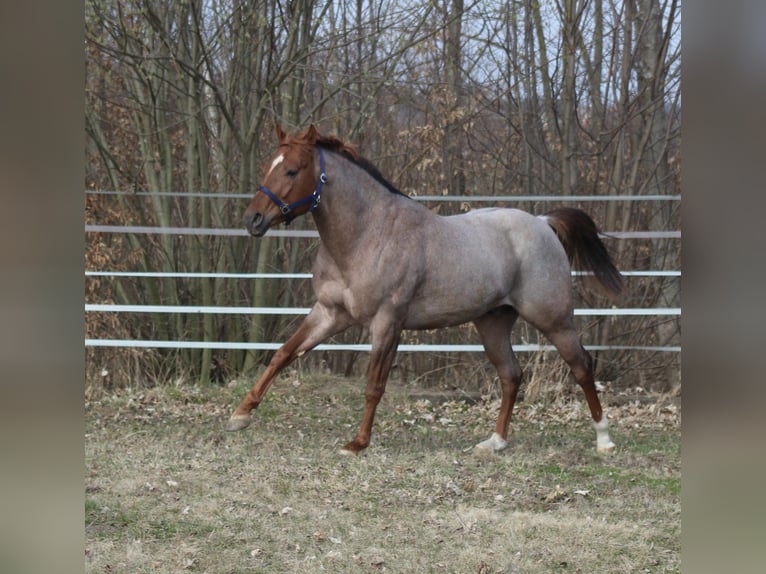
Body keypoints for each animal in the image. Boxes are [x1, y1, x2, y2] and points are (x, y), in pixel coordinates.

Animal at [227, 124, 624, 455]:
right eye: (269, 166)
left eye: (293, 170)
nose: (253, 220)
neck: (366, 235)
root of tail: (542, 223)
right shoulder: (329, 313)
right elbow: (283, 354)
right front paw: (240, 414)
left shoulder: (387, 323)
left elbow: (374, 385)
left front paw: (357, 444)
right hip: (492, 323)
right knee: (511, 376)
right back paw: (495, 442)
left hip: (553, 320)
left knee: (582, 366)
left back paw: (604, 440)